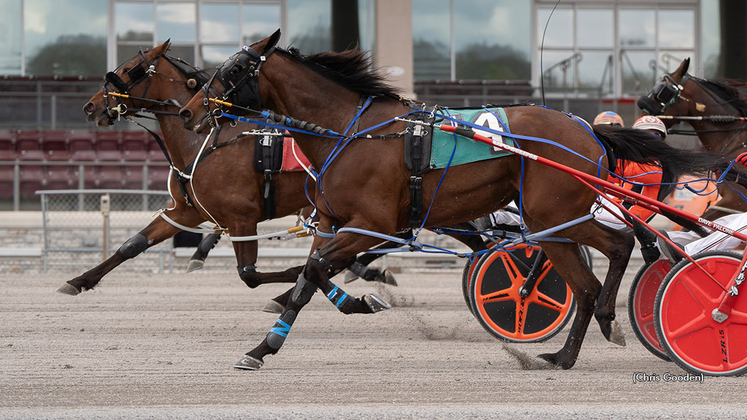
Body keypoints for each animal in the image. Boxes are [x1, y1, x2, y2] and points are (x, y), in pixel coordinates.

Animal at [63, 41, 394, 314]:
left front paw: (294, 280)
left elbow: (250, 275)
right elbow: (132, 245)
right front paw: (79, 281)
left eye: (130, 70)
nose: (90, 106)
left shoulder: (241, 218)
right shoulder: (185, 211)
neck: (205, 141)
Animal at [180, 31, 724, 370]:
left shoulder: (370, 223)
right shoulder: (335, 224)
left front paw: (265, 345)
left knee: (619, 245)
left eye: (233, 68)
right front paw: (290, 330)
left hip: (554, 214)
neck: (353, 132)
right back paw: (568, 353)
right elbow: (308, 277)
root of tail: (587, 128)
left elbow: (311, 274)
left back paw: (607, 322)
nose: (189, 110)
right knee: (592, 278)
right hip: (551, 223)